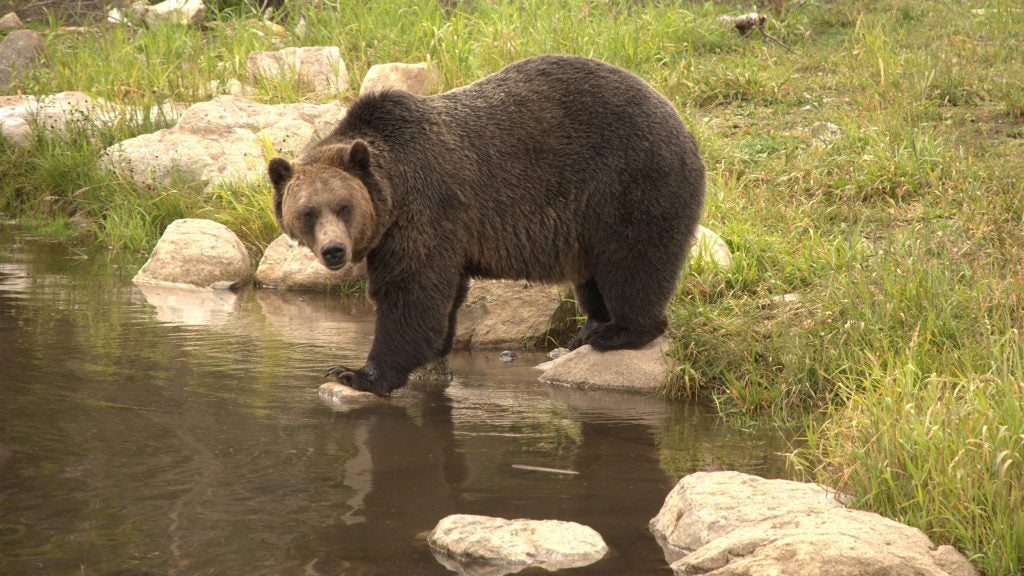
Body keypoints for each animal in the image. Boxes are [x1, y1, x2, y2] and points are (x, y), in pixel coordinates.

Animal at [267, 54, 705, 396]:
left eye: (343, 207)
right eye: (308, 212)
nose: (334, 251)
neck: (392, 193)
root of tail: (682, 124)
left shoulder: (425, 209)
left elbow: (411, 291)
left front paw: (355, 373)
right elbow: (444, 292)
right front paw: (435, 349)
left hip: (629, 184)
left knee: (634, 263)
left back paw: (618, 332)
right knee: (593, 275)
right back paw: (587, 329)